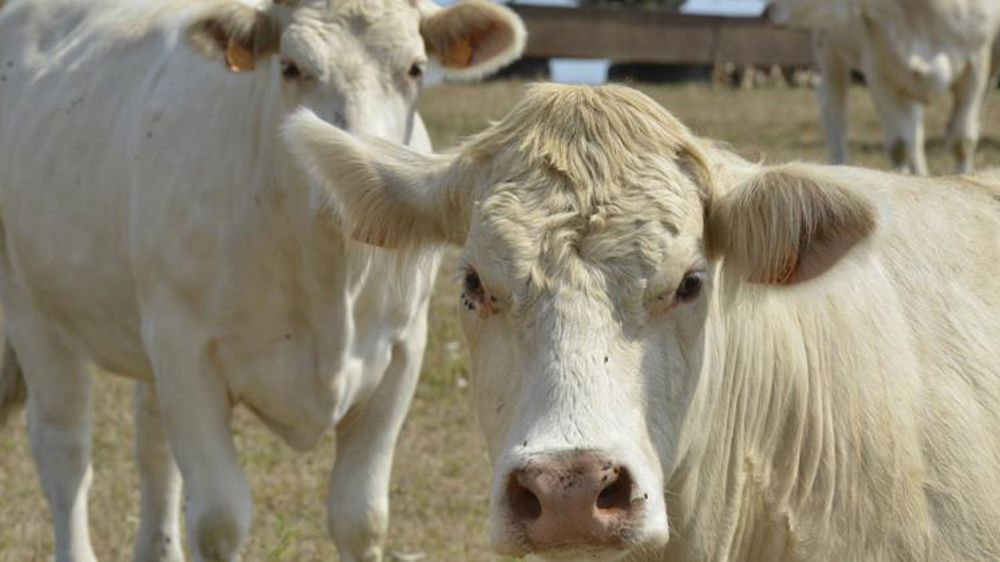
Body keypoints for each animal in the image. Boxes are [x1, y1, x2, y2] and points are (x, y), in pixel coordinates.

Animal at [0, 0, 524, 561]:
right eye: (290, 67)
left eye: (415, 69)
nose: (357, 181)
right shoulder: (186, 352)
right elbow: (220, 518)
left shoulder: (403, 349)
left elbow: (360, 517)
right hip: (33, 308)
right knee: (65, 450)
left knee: (153, 443)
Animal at [767, 0, 1000, 175]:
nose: (769, 10)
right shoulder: (878, 69)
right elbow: (899, 144)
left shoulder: (977, 62)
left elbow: (962, 140)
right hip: (828, 48)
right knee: (834, 111)